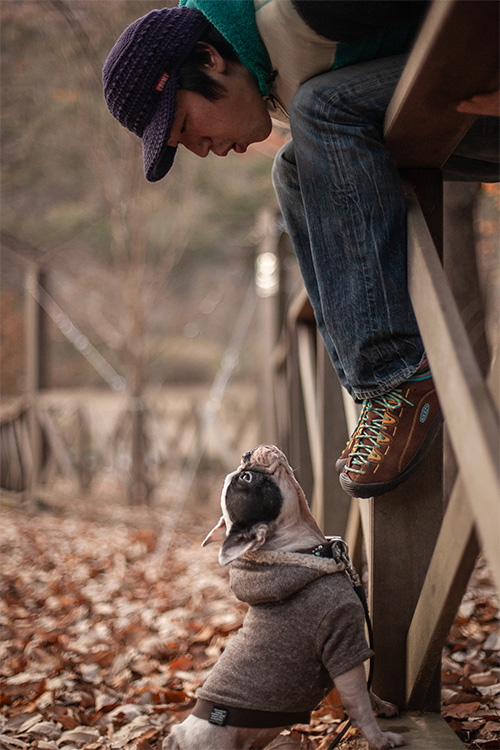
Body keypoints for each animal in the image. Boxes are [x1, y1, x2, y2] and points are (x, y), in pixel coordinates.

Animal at [164, 446, 406, 750]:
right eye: (246, 478)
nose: (246, 454)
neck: (301, 550)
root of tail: (175, 739)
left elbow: (367, 689)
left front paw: (383, 706)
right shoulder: (343, 644)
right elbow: (359, 703)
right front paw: (380, 738)